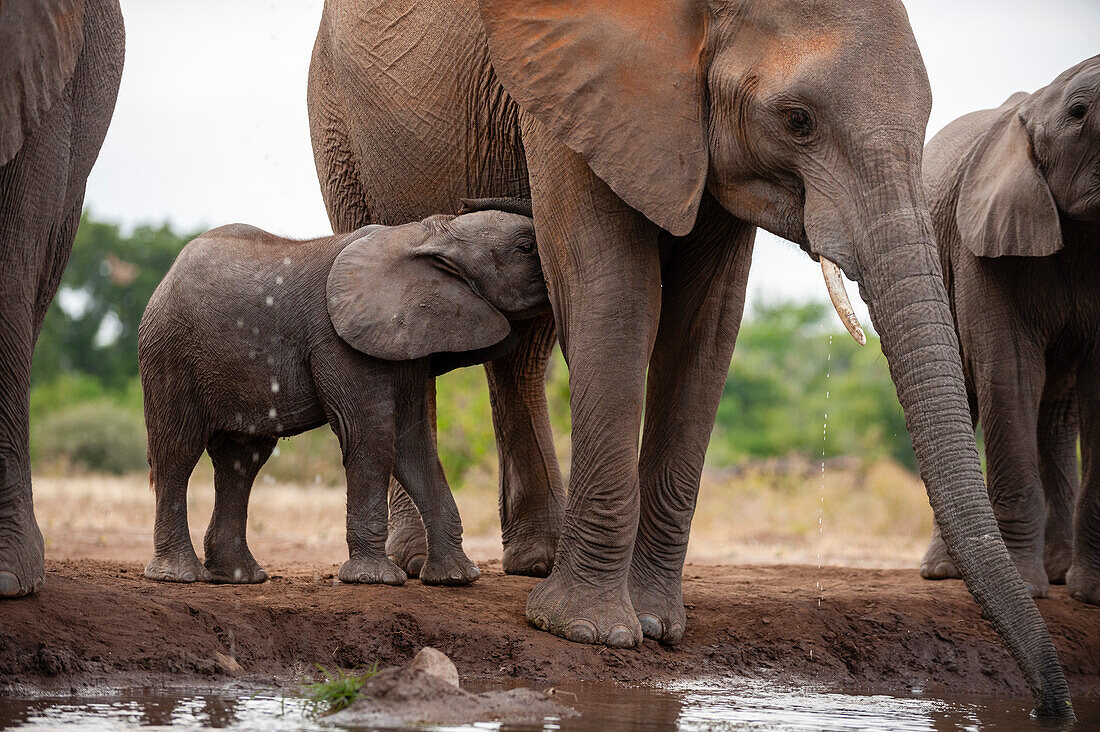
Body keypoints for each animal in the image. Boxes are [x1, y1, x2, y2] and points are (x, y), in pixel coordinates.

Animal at [139, 200, 547, 590]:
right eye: (526, 247)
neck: (426, 233)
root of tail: (166, 276)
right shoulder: (340, 342)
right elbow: (370, 436)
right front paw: (375, 580)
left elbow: (412, 443)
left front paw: (458, 578)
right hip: (170, 353)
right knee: (177, 450)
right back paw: (178, 575)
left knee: (241, 460)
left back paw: (240, 577)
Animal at [310, 0, 1073, 717]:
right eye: (797, 121)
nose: (1050, 706)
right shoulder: (583, 92)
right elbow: (612, 290)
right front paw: (590, 632)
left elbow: (708, 320)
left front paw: (656, 626)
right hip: (337, 126)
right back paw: (423, 566)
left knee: (522, 346)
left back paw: (535, 560)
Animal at [919, 58, 1100, 603]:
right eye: (1079, 112)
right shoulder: (985, 241)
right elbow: (1011, 374)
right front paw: (1026, 588)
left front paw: (1089, 595)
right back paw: (945, 573)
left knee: (1057, 418)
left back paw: (1059, 572)